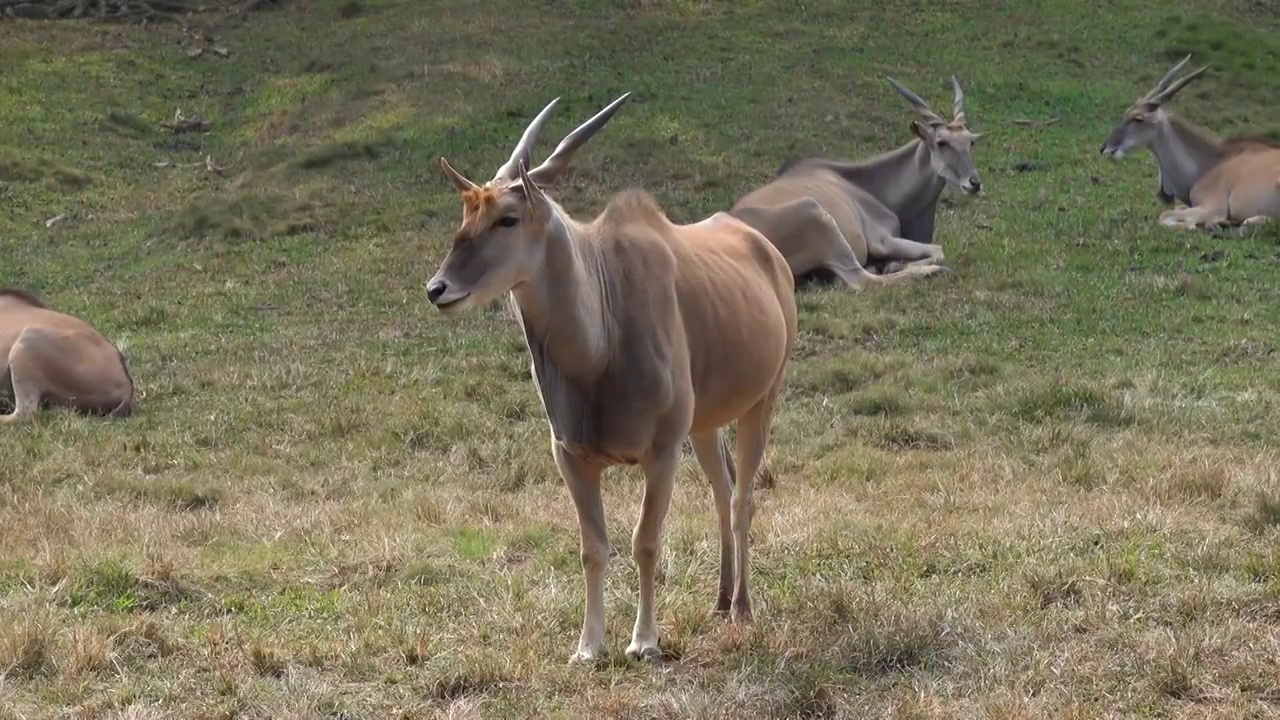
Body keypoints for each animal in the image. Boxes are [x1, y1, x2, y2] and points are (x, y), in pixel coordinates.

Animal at [424, 94, 793, 661]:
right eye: (466, 214)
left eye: (507, 219)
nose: (437, 289)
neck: (601, 336)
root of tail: (769, 252)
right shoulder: (572, 456)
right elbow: (592, 548)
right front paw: (588, 646)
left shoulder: (661, 452)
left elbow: (645, 541)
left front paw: (643, 642)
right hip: (704, 425)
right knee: (722, 487)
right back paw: (720, 599)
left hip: (761, 401)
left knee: (741, 497)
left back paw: (743, 608)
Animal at [727, 73, 983, 285]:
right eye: (942, 142)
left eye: (970, 141)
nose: (974, 183)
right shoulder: (882, 240)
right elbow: (938, 251)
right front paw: (897, 265)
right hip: (815, 214)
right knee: (863, 280)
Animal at [1100, 56, 1280, 229]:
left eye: (1138, 118)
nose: (1105, 148)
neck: (1208, 164)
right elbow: (1177, 209)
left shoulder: (1212, 207)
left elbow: (1165, 216)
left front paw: (1195, 225)